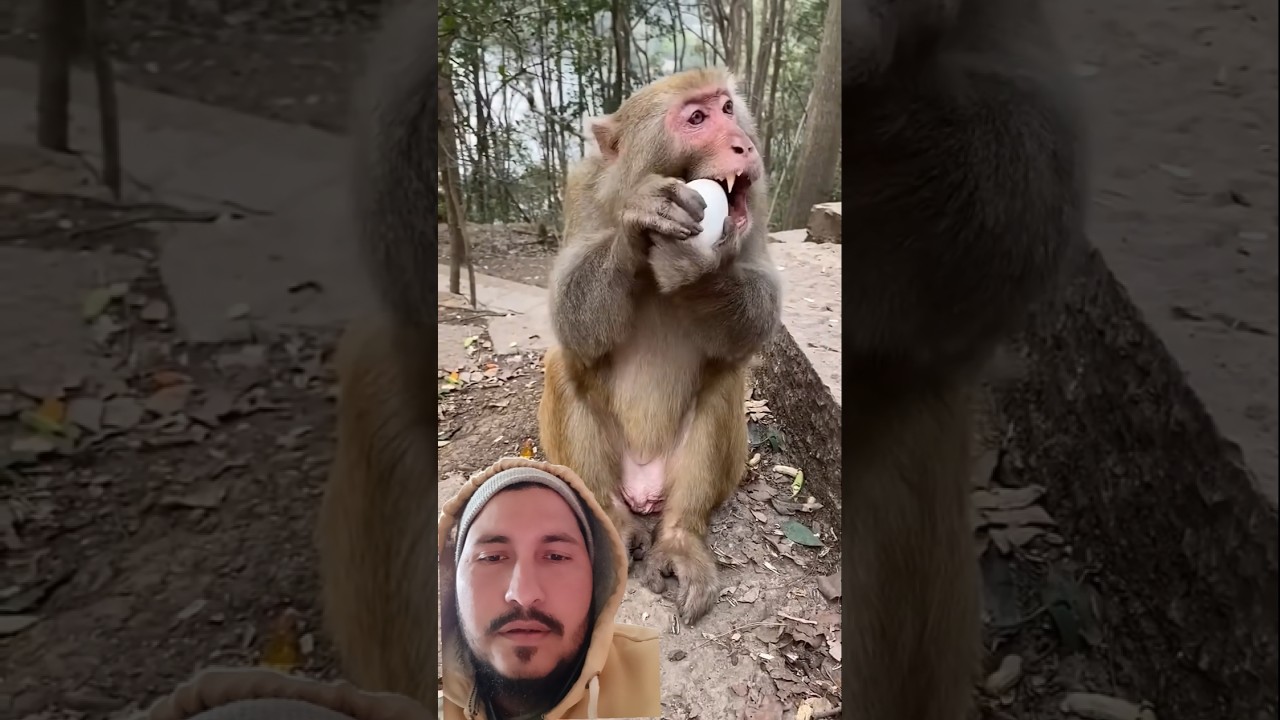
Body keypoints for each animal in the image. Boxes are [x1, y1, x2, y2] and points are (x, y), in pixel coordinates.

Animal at [537, 67, 783, 626]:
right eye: (696, 118)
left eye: (727, 108)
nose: (744, 145)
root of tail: (644, 488)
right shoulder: (584, 190)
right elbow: (572, 320)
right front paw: (639, 222)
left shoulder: (757, 206)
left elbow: (761, 300)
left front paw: (697, 267)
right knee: (564, 363)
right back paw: (613, 519)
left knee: (726, 378)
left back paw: (678, 538)